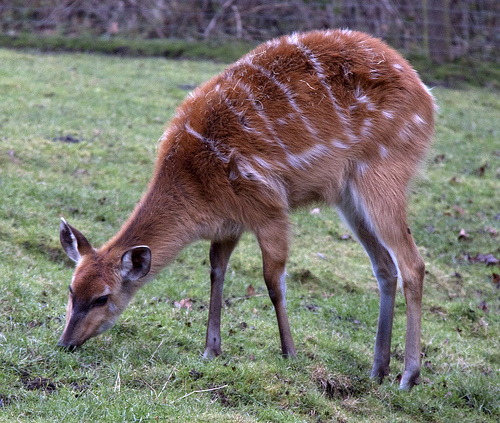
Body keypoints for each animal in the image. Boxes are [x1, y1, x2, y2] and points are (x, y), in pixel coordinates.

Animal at [57, 29, 434, 390]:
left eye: (102, 298)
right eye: (72, 289)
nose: (65, 343)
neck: (196, 186)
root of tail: (427, 96)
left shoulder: (269, 207)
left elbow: (273, 281)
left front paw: (289, 352)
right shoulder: (230, 222)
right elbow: (216, 270)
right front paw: (211, 348)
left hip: (383, 171)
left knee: (412, 263)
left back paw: (408, 376)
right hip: (347, 195)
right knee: (385, 267)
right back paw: (378, 370)